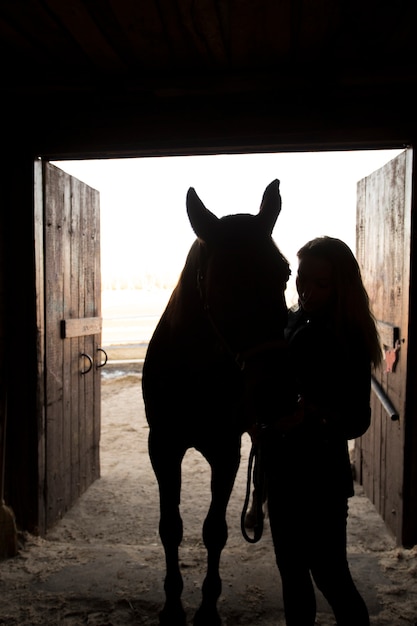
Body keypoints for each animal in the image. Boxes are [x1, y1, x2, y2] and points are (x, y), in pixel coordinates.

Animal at [141, 178, 290, 620]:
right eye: (223, 281)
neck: (195, 373)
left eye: (285, 273)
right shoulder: (164, 446)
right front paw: (173, 605)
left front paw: (207, 609)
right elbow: (170, 527)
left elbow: (214, 531)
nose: (274, 388)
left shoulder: (226, 451)